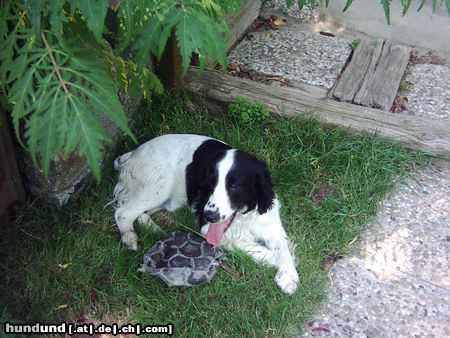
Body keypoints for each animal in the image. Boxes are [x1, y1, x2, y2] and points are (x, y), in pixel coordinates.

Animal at [113, 134, 298, 294]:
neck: (244, 214)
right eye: (210, 183)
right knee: (123, 211)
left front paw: (288, 276)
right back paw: (130, 237)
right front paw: (271, 257)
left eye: (234, 186)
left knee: (140, 212)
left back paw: (155, 229)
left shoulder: (270, 224)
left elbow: (283, 247)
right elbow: (244, 243)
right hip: (160, 186)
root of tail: (133, 153)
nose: (209, 215)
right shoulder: (207, 228)